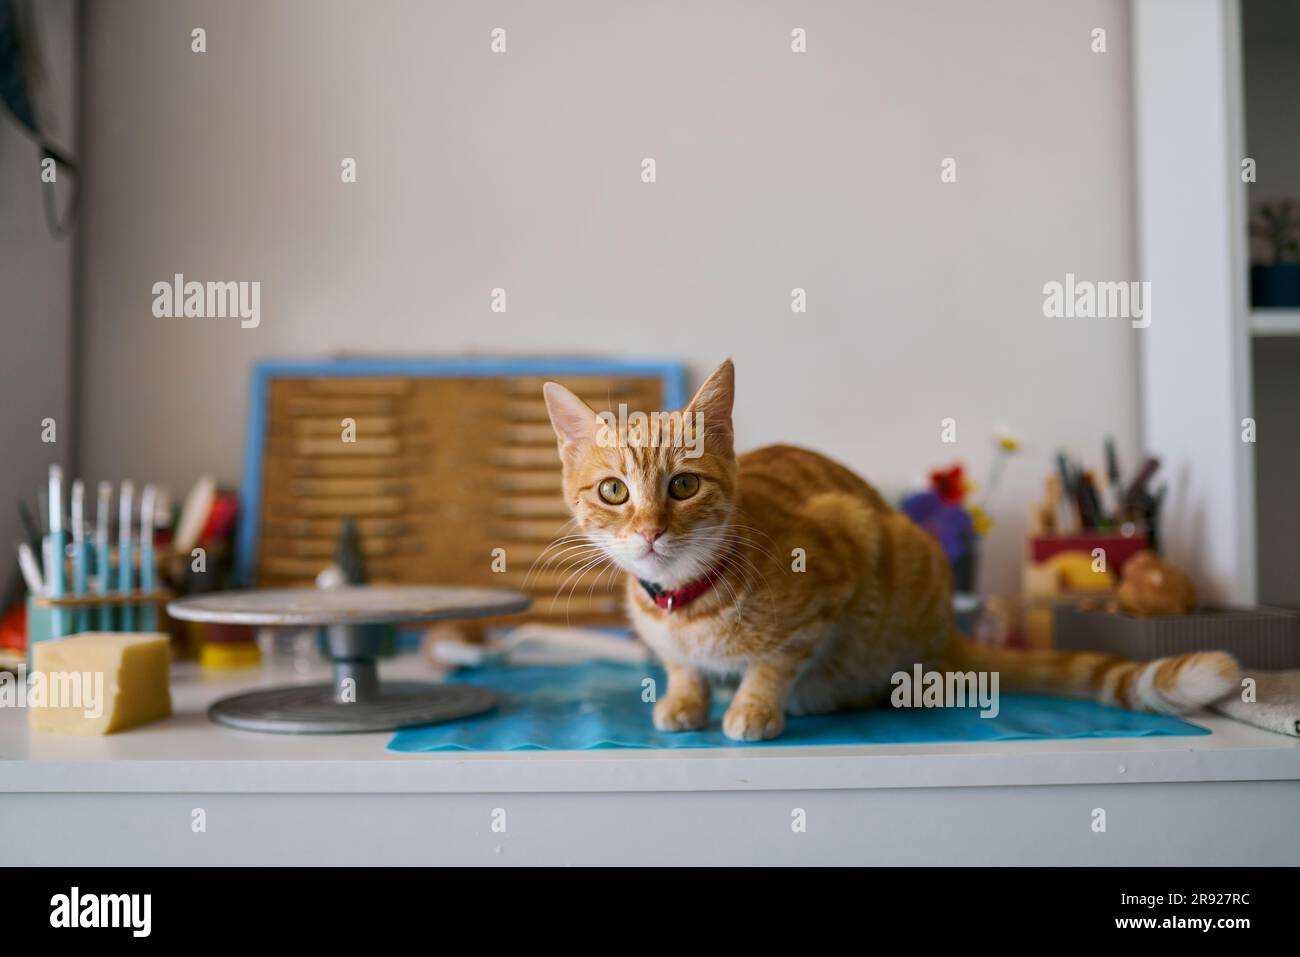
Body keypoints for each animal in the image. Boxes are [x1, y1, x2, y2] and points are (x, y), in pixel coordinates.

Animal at [540, 358, 1237, 738]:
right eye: (613, 491)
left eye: (683, 485)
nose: (650, 530)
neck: (684, 602)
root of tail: (946, 637)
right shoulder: (670, 643)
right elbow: (681, 668)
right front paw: (686, 701)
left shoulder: (837, 561)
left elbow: (776, 661)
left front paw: (753, 707)